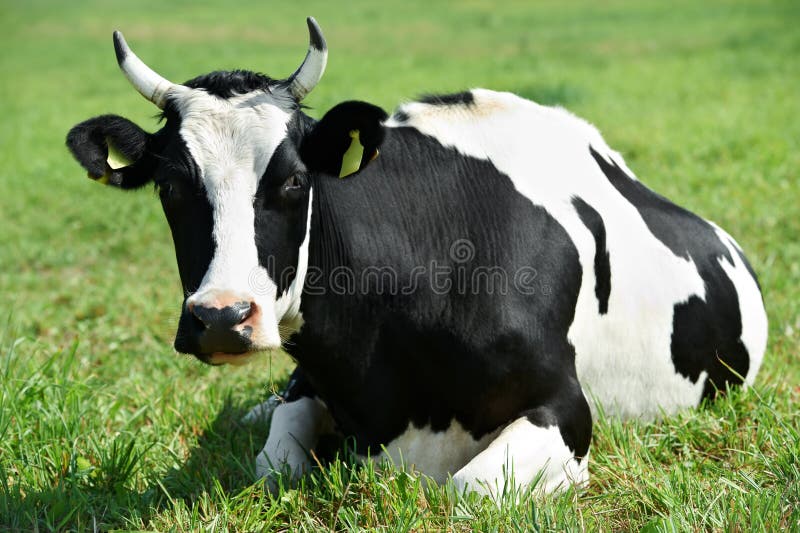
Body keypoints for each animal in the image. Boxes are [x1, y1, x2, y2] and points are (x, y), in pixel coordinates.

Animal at [66, 18, 768, 498]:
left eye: (295, 180)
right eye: (170, 186)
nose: (220, 317)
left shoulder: (566, 406)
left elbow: (468, 488)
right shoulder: (313, 384)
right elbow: (272, 463)